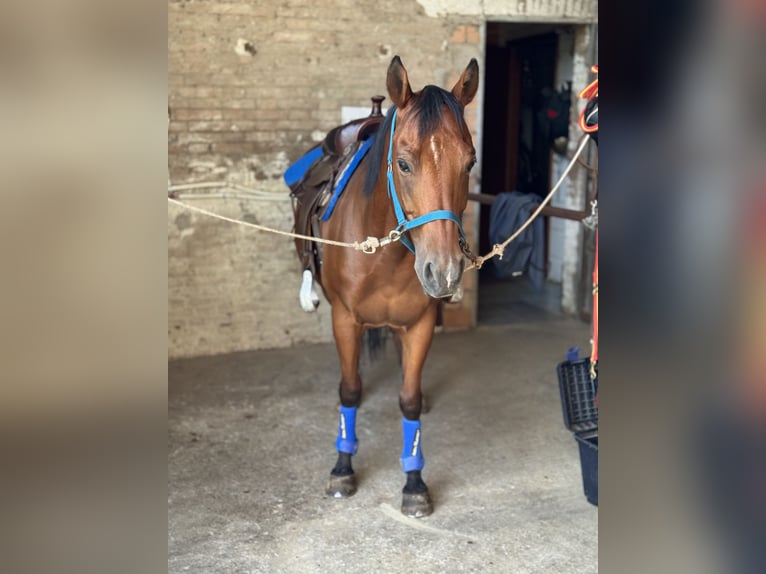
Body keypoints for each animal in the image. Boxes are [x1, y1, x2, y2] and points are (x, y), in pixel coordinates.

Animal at [293, 56, 479, 518]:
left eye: (469, 163)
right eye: (404, 163)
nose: (443, 271)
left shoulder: (420, 323)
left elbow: (409, 399)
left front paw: (414, 482)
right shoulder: (345, 319)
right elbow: (350, 391)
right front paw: (343, 468)